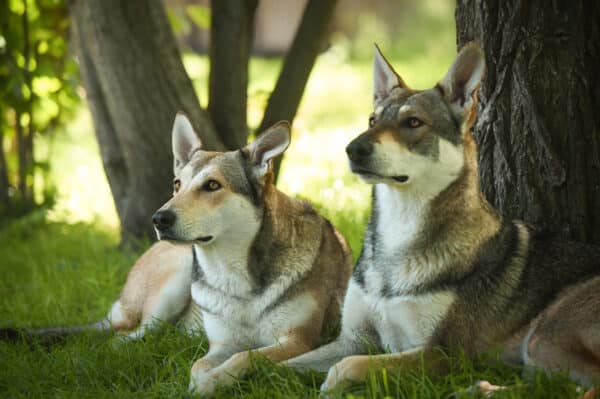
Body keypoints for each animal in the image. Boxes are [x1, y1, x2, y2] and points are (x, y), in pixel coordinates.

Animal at [152, 114, 354, 396]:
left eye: (212, 185)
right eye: (177, 185)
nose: (159, 219)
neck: (234, 276)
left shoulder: (298, 340)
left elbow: (246, 356)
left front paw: (210, 383)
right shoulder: (222, 344)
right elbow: (197, 365)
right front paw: (198, 384)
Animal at [284, 43, 600, 394]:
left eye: (413, 122)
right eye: (372, 120)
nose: (352, 149)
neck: (398, 236)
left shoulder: (441, 354)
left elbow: (345, 367)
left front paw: (331, 387)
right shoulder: (352, 339)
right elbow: (266, 362)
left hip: (543, 339)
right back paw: (479, 390)